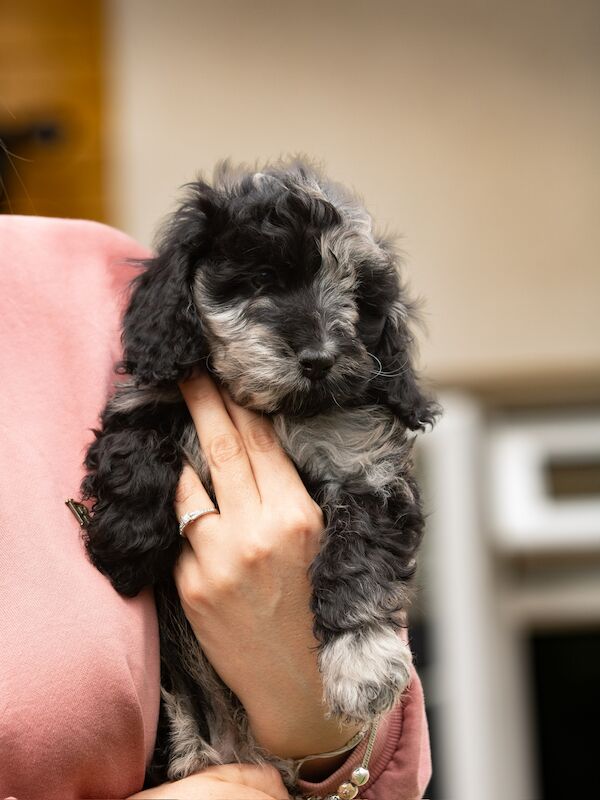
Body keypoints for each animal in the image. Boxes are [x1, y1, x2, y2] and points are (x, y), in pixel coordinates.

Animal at [79, 158, 438, 788]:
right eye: (263, 277)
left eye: (360, 298)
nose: (319, 359)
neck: (276, 410)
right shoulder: (150, 394)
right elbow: (132, 447)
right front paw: (125, 541)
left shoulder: (367, 469)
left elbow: (359, 560)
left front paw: (363, 659)